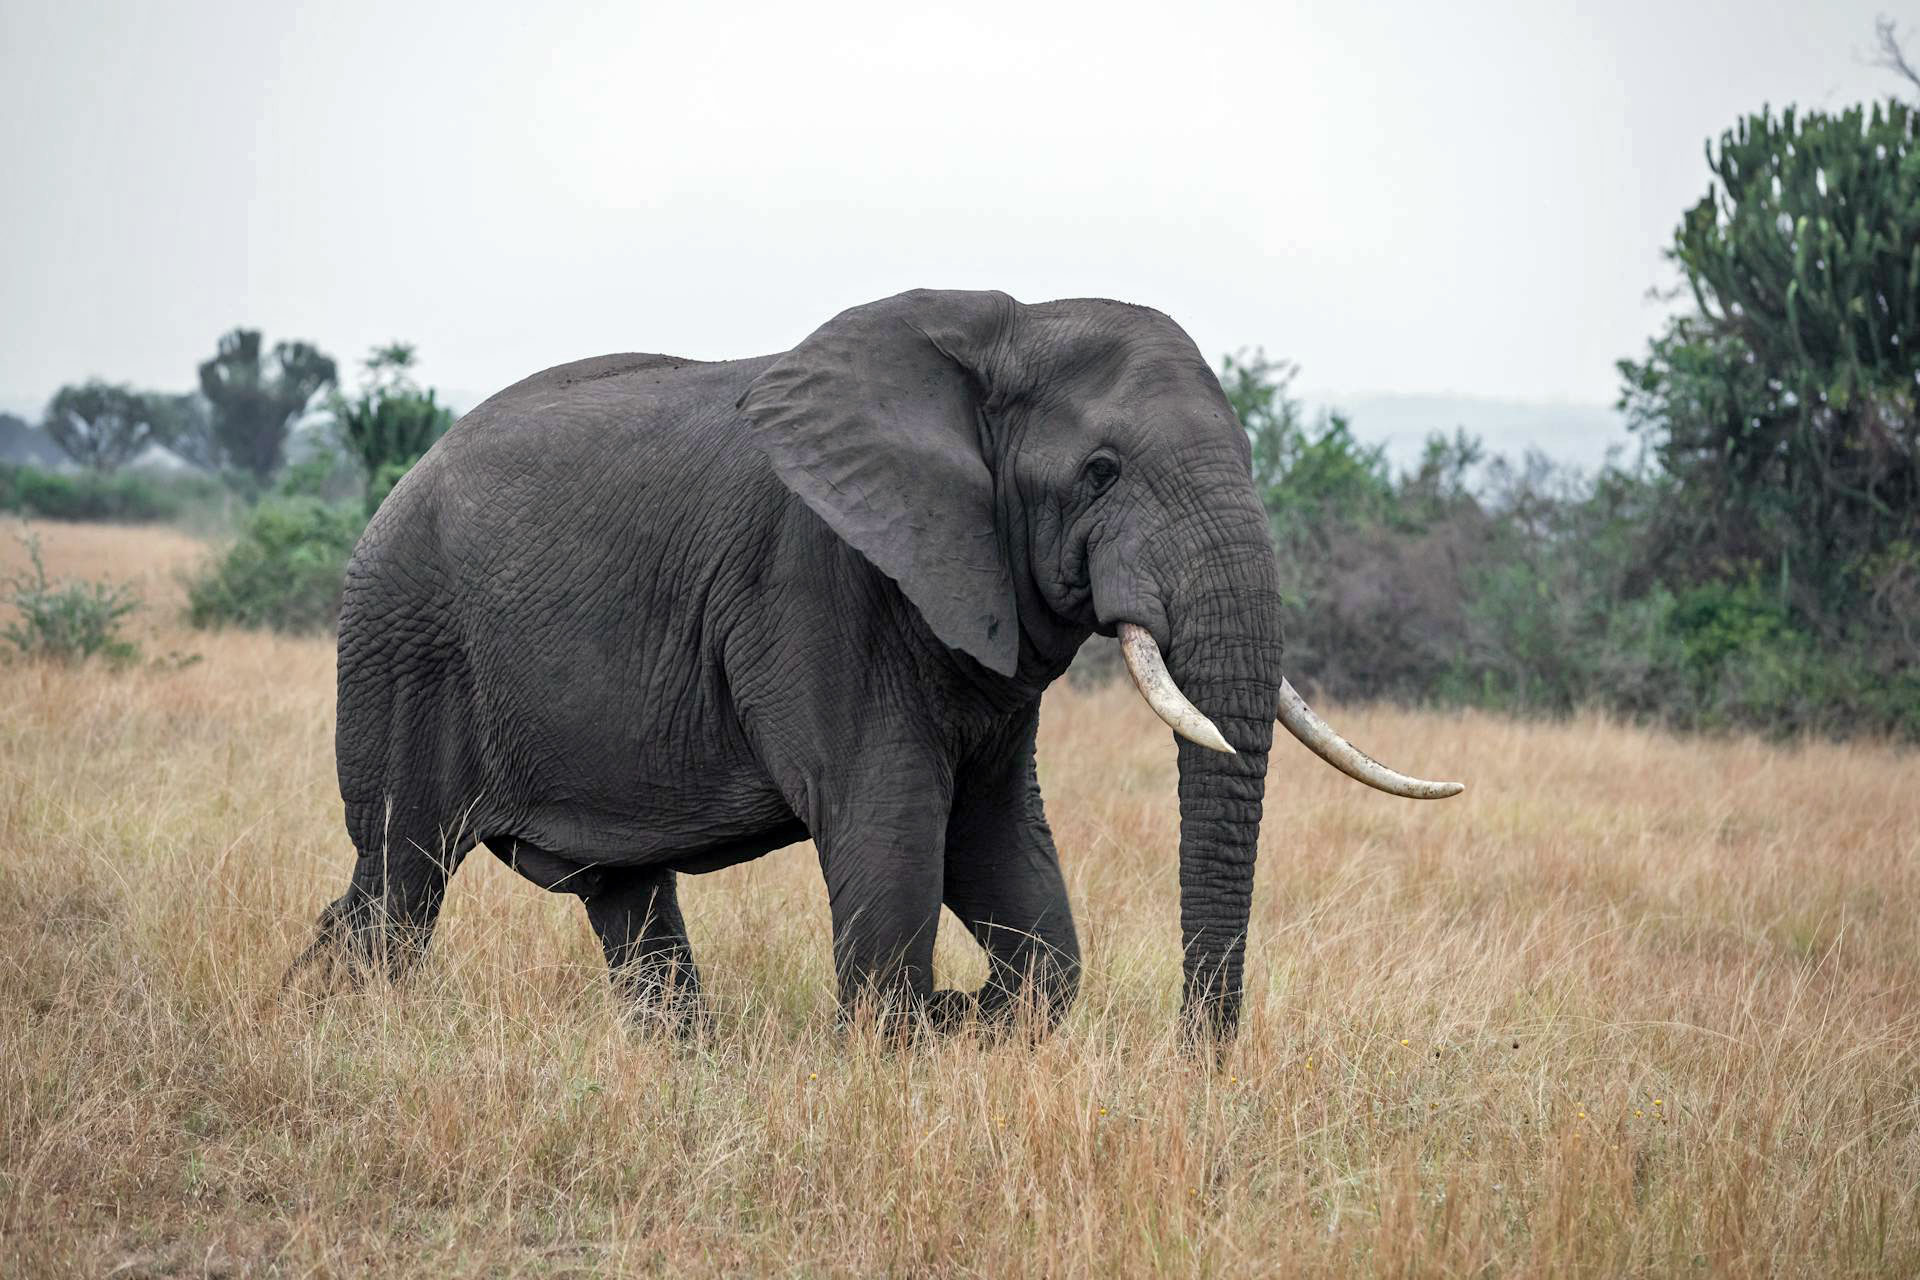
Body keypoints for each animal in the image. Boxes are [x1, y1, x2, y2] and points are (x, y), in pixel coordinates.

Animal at [297, 288, 1461, 1040]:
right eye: (1100, 470)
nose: (1197, 1064)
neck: (1003, 332)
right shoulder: (820, 582)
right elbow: (893, 822)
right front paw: (912, 1028)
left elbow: (1000, 844)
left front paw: (975, 1016)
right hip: (405, 648)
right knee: (398, 884)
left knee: (623, 900)